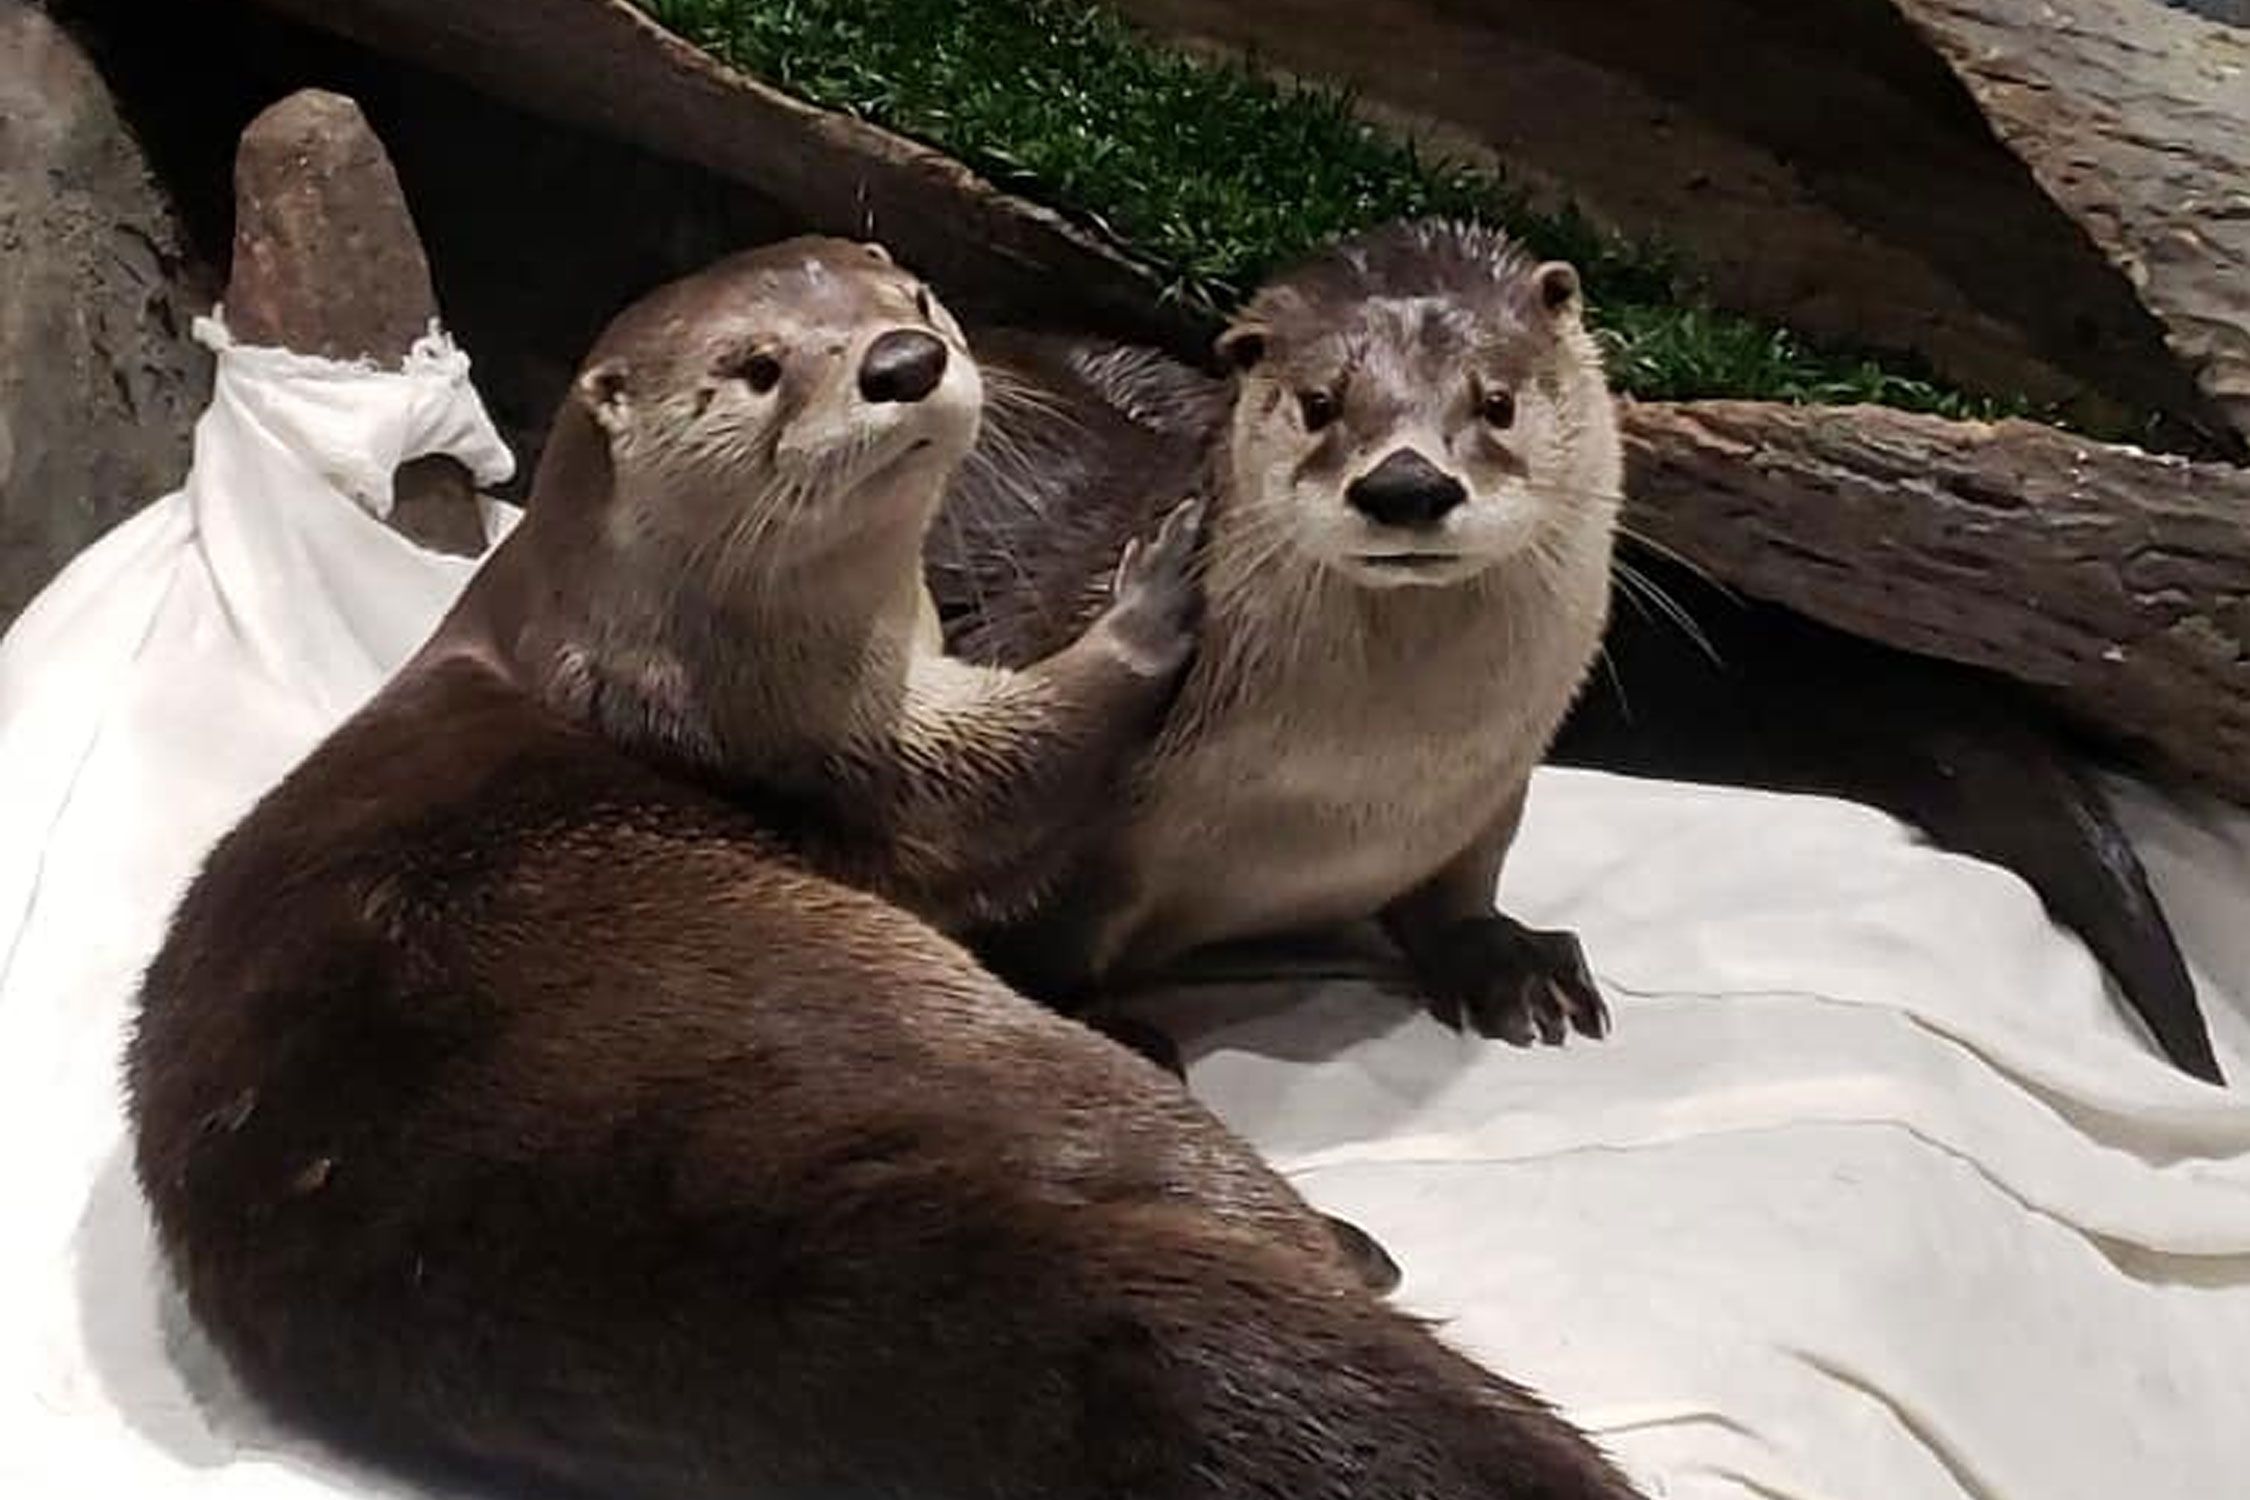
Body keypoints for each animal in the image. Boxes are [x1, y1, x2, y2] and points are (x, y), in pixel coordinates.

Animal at [933, 220, 1618, 1051]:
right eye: (1320, 403)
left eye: (1497, 401)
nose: (1407, 484)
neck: (1360, 795)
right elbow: (1031, 932)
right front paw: (1102, 1025)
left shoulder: (1492, 794)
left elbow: (1463, 886)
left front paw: (1507, 959)